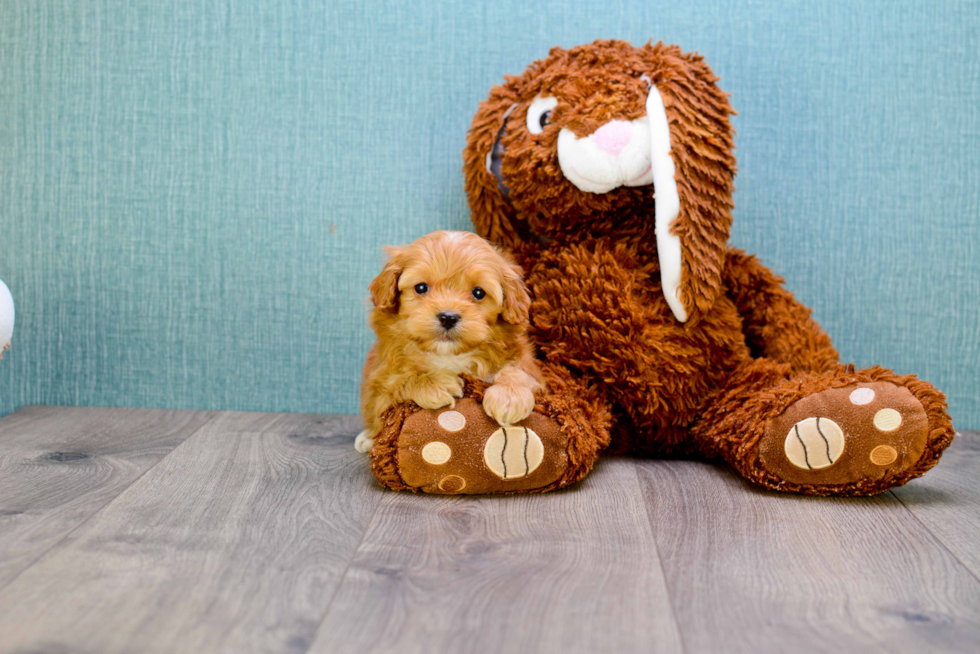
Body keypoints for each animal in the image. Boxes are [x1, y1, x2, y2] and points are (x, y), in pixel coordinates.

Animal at [356, 232, 544, 456]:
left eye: (478, 293)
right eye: (421, 288)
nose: (448, 317)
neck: (449, 355)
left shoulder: (530, 367)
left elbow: (518, 370)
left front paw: (508, 396)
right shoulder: (378, 383)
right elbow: (397, 382)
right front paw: (434, 384)